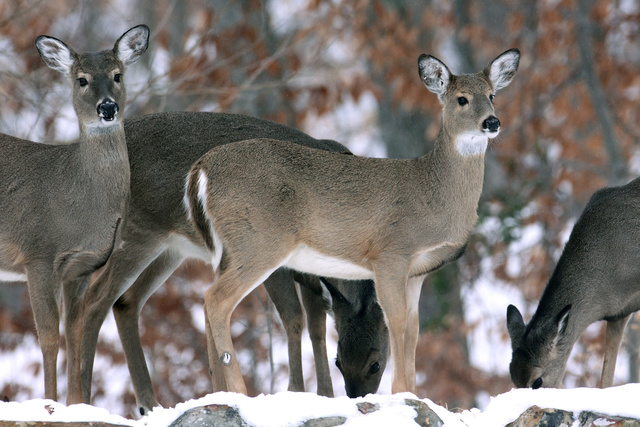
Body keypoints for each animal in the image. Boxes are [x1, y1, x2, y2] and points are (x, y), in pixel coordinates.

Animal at [0, 25, 149, 405]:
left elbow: (75, 333)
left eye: (117, 75)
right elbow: (49, 337)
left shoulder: (81, 267)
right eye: (82, 80)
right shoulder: (37, 254)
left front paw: (77, 403)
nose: (107, 107)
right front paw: (49, 403)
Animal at [76, 111, 388, 415]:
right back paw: (81, 400)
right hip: (138, 232)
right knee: (94, 301)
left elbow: (317, 326)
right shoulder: (280, 265)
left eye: (376, 362)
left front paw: (323, 394)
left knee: (126, 301)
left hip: (170, 249)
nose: (357, 395)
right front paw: (296, 390)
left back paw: (148, 404)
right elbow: (293, 317)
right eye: (341, 363)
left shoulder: (312, 274)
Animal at [184, 48, 520, 395]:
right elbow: (396, 321)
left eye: (492, 95)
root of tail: (201, 170)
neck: (433, 191)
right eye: (461, 99)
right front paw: (400, 392)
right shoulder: (390, 253)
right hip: (259, 242)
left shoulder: (417, 272)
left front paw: (413, 394)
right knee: (216, 299)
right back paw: (239, 390)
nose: (492, 122)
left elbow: (413, 331)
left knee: (209, 302)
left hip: (229, 250)